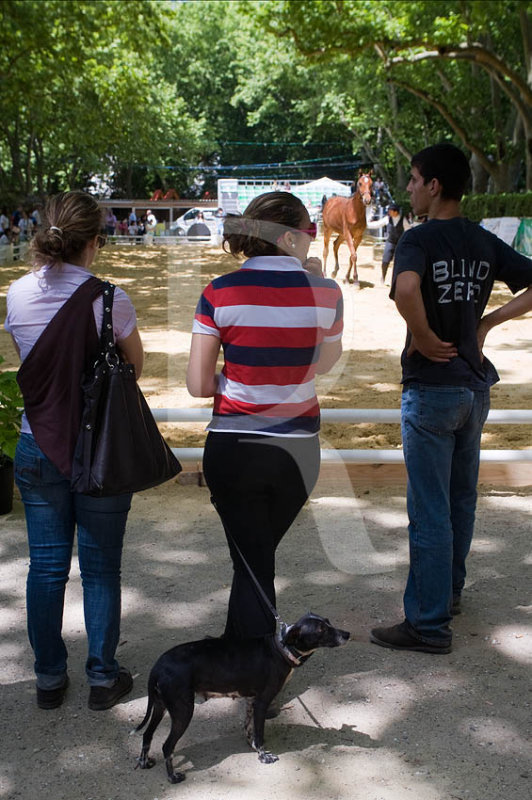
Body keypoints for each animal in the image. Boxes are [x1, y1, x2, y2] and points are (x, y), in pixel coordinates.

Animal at [135, 612, 350, 780]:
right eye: (321, 630)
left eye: (328, 621)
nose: (347, 634)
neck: (280, 649)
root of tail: (158, 666)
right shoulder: (262, 702)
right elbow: (259, 733)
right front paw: (264, 757)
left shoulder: (251, 701)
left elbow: (249, 729)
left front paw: (253, 747)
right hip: (183, 711)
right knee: (166, 746)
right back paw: (173, 777)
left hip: (161, 707)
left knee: (147, 734)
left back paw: (144, 762)